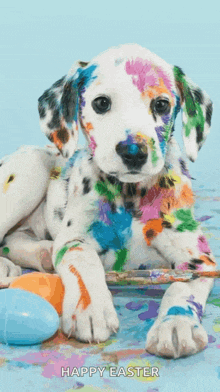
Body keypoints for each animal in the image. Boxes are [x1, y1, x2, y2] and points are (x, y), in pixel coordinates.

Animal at [0, 43, 215, 358]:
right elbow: (84, 262)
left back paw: (43, 253)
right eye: (101, 103)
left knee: (15, 239)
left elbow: (183, 286)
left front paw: (176, 323)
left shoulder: (199, 258)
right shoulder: (75, 239)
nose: (134, 151)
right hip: (29, 171)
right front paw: (91, 309)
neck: (130, 194)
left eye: (161, 105)